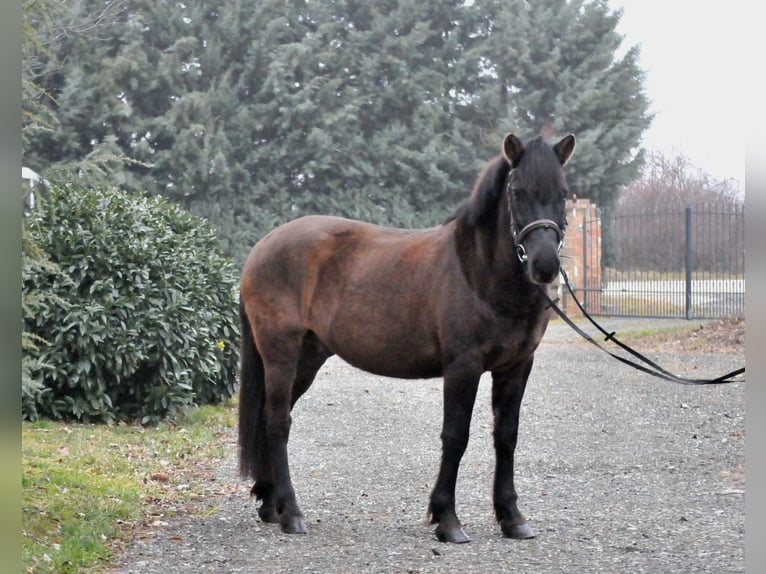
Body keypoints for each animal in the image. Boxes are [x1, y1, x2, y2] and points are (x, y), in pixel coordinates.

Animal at [238, 133, 576, 548]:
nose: (544, 265)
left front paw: (512, 517)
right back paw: (291, 513)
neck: (477, 270)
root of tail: (263, 245)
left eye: (563, 193)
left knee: (274, 417)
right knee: (276, 424)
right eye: (517, 192)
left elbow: (506, 436)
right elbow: (456, 436)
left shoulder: (516, 367)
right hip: (280, 353)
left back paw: (271, 503)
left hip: (307, 358)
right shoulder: (463, 367)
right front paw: (447, 519)